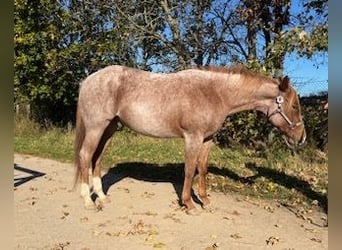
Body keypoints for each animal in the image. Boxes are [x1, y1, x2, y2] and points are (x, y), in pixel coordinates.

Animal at [73, 64, 306, 211]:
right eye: (294, 106)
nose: (301, 138)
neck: (215, 94)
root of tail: (88, 80)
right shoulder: (193, 137)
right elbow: (189, 169)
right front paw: (189, 203)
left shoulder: (207, 139)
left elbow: (202, 168)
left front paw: (205, 200)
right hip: (96, 127)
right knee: (85, 156)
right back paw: (87, 200)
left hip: (109, 129)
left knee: (97, 158)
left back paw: (102, 197)